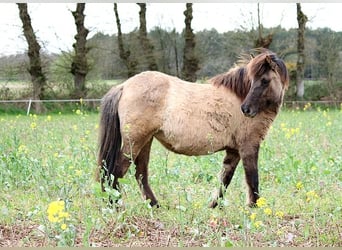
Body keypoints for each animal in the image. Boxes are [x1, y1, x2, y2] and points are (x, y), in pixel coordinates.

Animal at [96, 49, 288, 208]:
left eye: (264, 80)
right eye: (253, 80)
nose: (246, 109)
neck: (237, 95)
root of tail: (124, 86)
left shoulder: (234, 151)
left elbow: (225, 179)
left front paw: (213, 206)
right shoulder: (248, 146)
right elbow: (252, 178)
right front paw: (255, 207)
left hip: (145, 141)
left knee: (140, 174)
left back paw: (154, 206)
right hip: (134, 142)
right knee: (116, 172)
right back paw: (115, 205)